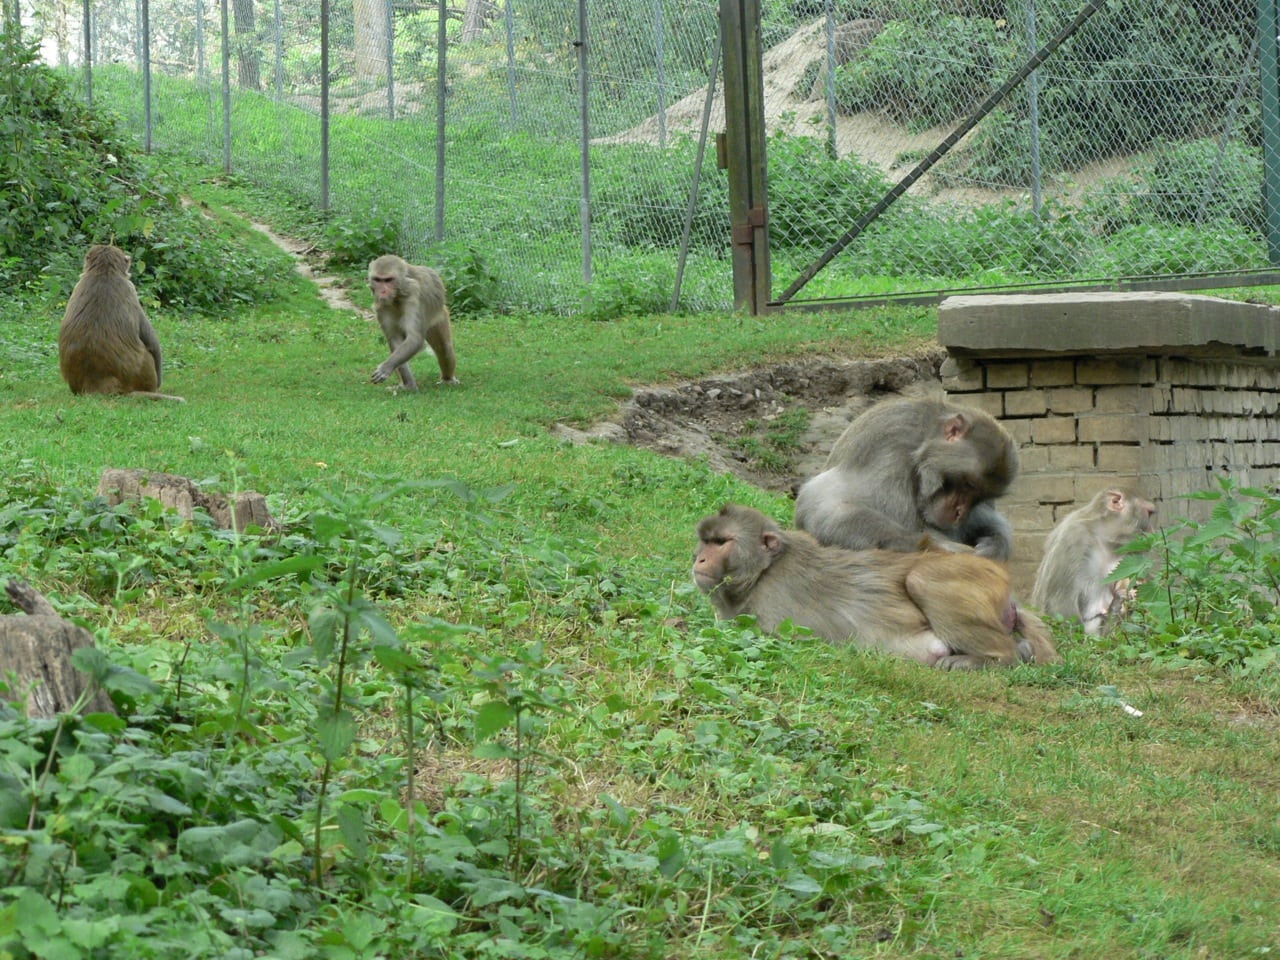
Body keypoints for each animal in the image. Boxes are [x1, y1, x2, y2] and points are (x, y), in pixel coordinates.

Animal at [59, 245, 185, 404]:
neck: (103, 271)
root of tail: (98, 386)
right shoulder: (130, 289)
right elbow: (151, 342)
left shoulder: (77, 284)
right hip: (142, 374)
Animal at [366, 257, 460, 391]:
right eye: (378, 280)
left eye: (388, 280)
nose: (382, 291)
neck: (397, 296)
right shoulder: (381, 306)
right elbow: (395, 340)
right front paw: (409, 385)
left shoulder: (414, 295)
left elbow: (415, 339)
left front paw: (386, 367)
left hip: (439, 315)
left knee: (444, 348)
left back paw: (448, 379)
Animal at [696, 504, 1054, 670]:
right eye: (705, 540)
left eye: (722, 542)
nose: (698, 559)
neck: (763, 572)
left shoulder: (771, 608)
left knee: (920, 579)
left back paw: (997, 656)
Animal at [793, 399, 1013, 563]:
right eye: (969, 485)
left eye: (980, 496)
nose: (960, 512)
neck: (920, 443)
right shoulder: (890, 450)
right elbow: (827, 502)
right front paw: (937, 545)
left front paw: (995, 546)